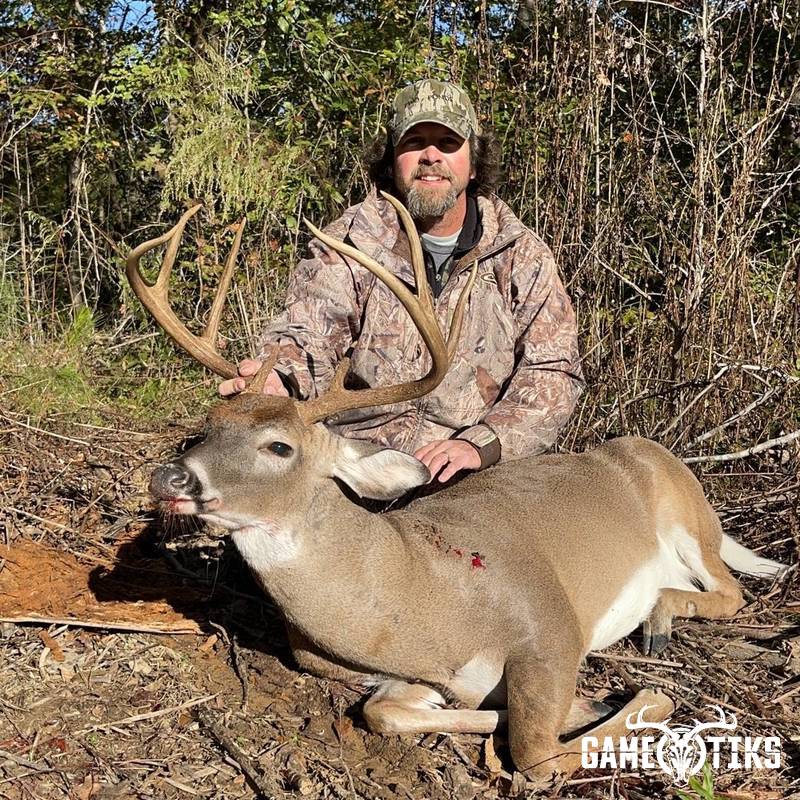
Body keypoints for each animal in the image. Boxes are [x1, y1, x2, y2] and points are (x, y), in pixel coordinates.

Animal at [127, 196, 787, 781]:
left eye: (279, 447)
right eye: (207, 426)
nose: (169, 477)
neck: (416, 597)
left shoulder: (551, 627)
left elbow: (539, 753)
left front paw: (633, 699)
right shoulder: (396, 677)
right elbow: (386, 714)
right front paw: (540, 706)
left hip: (686, 516)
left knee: (731, 591)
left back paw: (659, 622)